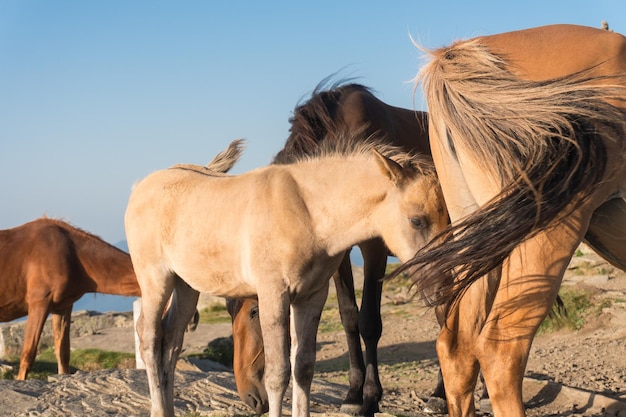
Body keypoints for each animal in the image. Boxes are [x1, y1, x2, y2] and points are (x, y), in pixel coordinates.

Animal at [123, 136, 444, 416]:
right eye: (417, 220)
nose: (441, 287)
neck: (307, 213)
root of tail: (139, 188)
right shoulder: (273, 294)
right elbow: (278, 374)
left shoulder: (312, 297)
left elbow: (303, 367)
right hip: (156, 280)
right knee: (149, 336)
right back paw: (158, 409)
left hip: (187, 286)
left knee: (171, 340)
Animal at [228, 79, 454, 414]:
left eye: (254, 312)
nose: (249, 397)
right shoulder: (335, 254)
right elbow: (349, 317)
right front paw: (352, 395)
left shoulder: (374, 247)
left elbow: (369, 322)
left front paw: (371, 396)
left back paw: (442, 393)